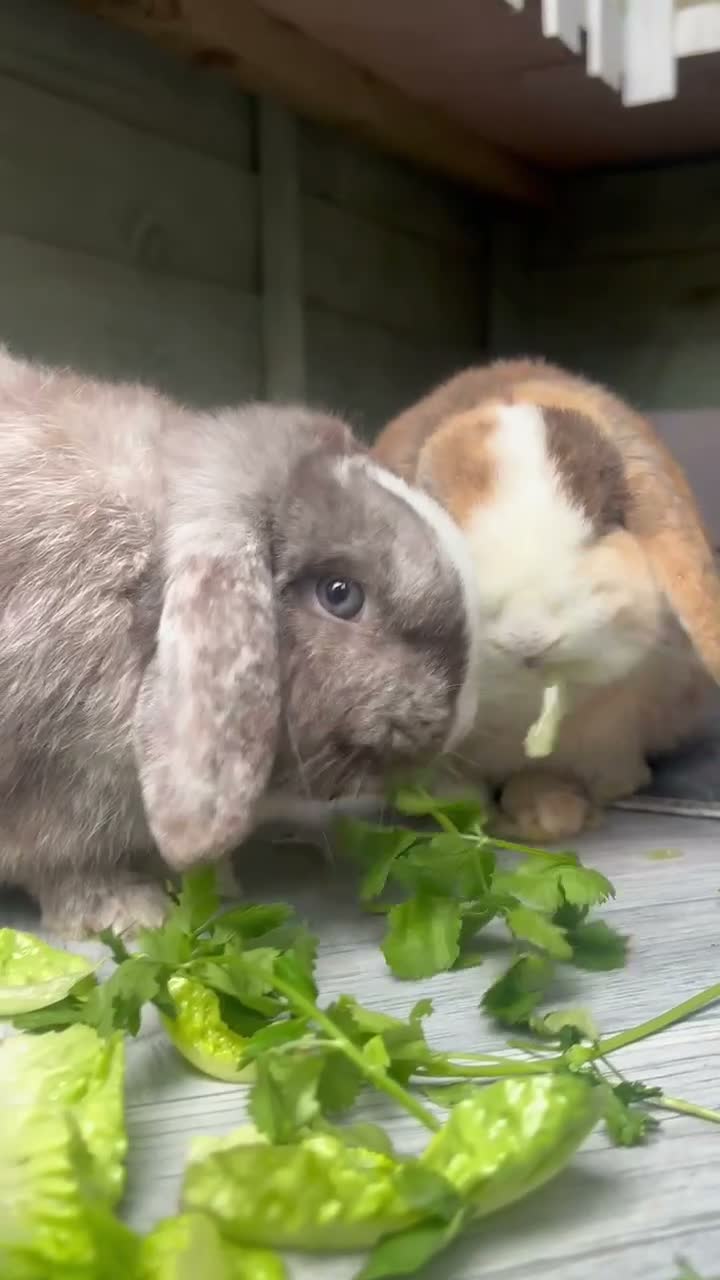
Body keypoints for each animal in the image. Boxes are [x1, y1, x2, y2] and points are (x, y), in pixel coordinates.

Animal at [0, 345, 482, 937]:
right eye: (340, 594)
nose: (460, 718)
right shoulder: (48, 803)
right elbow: (69, 871)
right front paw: (132, 916)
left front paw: (213, 882)